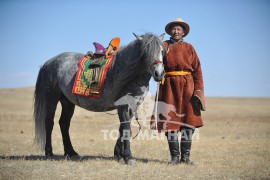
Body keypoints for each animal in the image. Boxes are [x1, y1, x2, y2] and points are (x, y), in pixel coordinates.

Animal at [33, 32, 166, 165]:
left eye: (162, 51)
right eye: (146, 52)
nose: (159, 73)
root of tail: (49, 63)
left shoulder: (133, 106)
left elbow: (123, 128)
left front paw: (119, 154)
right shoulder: (123, 106)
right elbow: (126, 129)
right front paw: (128, 157)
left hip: (67, 102)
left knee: (64, 123)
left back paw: (71, 152)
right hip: (52, 98)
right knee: (49, 122)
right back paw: (49, 152)